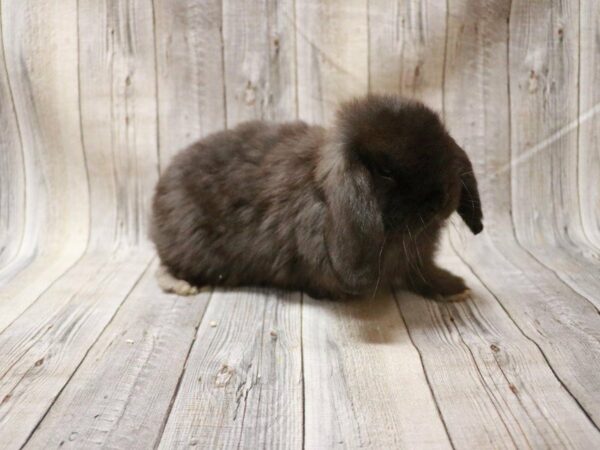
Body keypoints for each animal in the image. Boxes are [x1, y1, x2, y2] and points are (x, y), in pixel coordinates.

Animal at [149, 93, 482, 300]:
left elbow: (425, 274)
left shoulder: (420, 258)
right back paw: (181, 285)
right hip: (191, 249)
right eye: (385, 171)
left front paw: (453, 289)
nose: (441, 200)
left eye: (443, 147)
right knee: (165, 267)